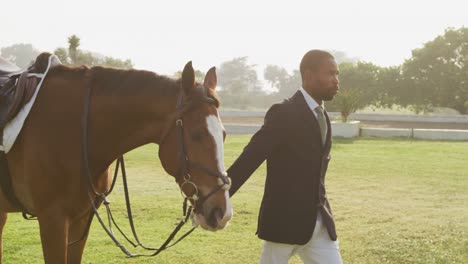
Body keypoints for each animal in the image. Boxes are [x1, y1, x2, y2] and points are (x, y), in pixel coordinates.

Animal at [0, 56, 232, 262]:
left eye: (223, 134)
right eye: (197, 135)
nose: (222, 213)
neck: (76, 129)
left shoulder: (81, 219)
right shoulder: (53, 220)